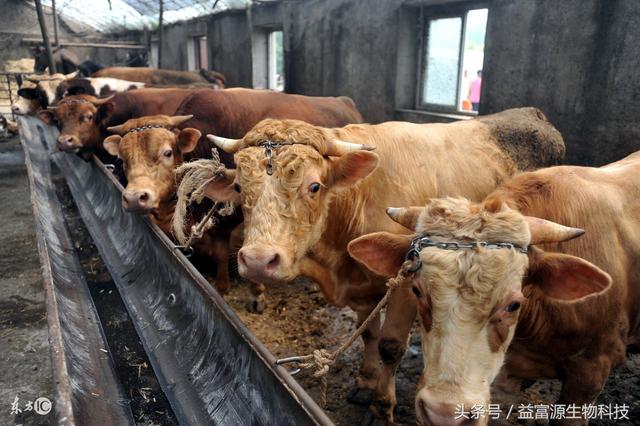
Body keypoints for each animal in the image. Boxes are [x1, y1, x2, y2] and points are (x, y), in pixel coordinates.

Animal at [199, 106, 564, 420]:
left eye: (314, 186)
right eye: (238, 186)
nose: (258, 261)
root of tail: (533, 114)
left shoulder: (407, 282)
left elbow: (390, 345)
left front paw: (381, 406)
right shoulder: (363, 287)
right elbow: (369, 334)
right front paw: (364, 380)